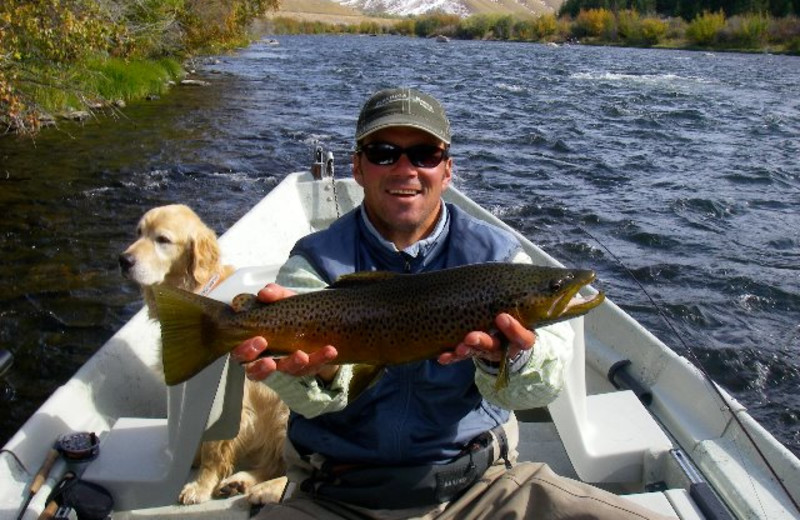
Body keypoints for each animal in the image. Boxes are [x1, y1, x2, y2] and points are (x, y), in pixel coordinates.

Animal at [120, 205, 290, 506]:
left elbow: (213, 447)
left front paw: (200, 486)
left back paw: (266, 489)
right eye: (139, 232)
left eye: (162, 239)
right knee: (272, 463)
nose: (123, 260)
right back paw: (239, 482)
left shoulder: (228, 399)